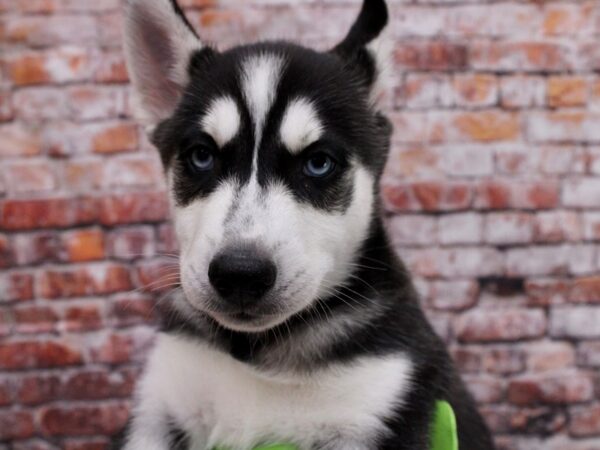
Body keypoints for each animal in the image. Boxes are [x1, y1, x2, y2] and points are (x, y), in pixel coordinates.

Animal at [119, 0, 494, 450]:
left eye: (318, 163)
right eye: (201, 156)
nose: (240, 273)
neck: (255, 352)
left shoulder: (383, 397)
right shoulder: (160, 407)